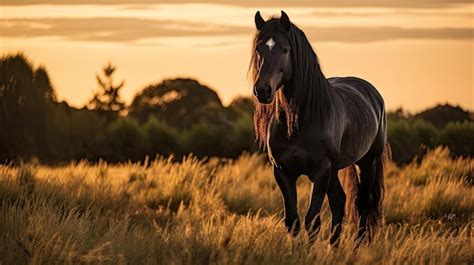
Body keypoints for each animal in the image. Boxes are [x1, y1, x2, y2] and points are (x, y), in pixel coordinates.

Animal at [248, 10, 388, 245]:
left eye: (285, 49)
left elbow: (312, 220)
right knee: (340, 201)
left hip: (367, 162)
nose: (262, 90)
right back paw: (334, 247)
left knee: (362, 205)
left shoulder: (321, 171)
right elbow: (293, 221)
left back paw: (358, 247)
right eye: (259, 48)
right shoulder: (283, 171)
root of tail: (373, 94)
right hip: (335, 170)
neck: (298, 123)